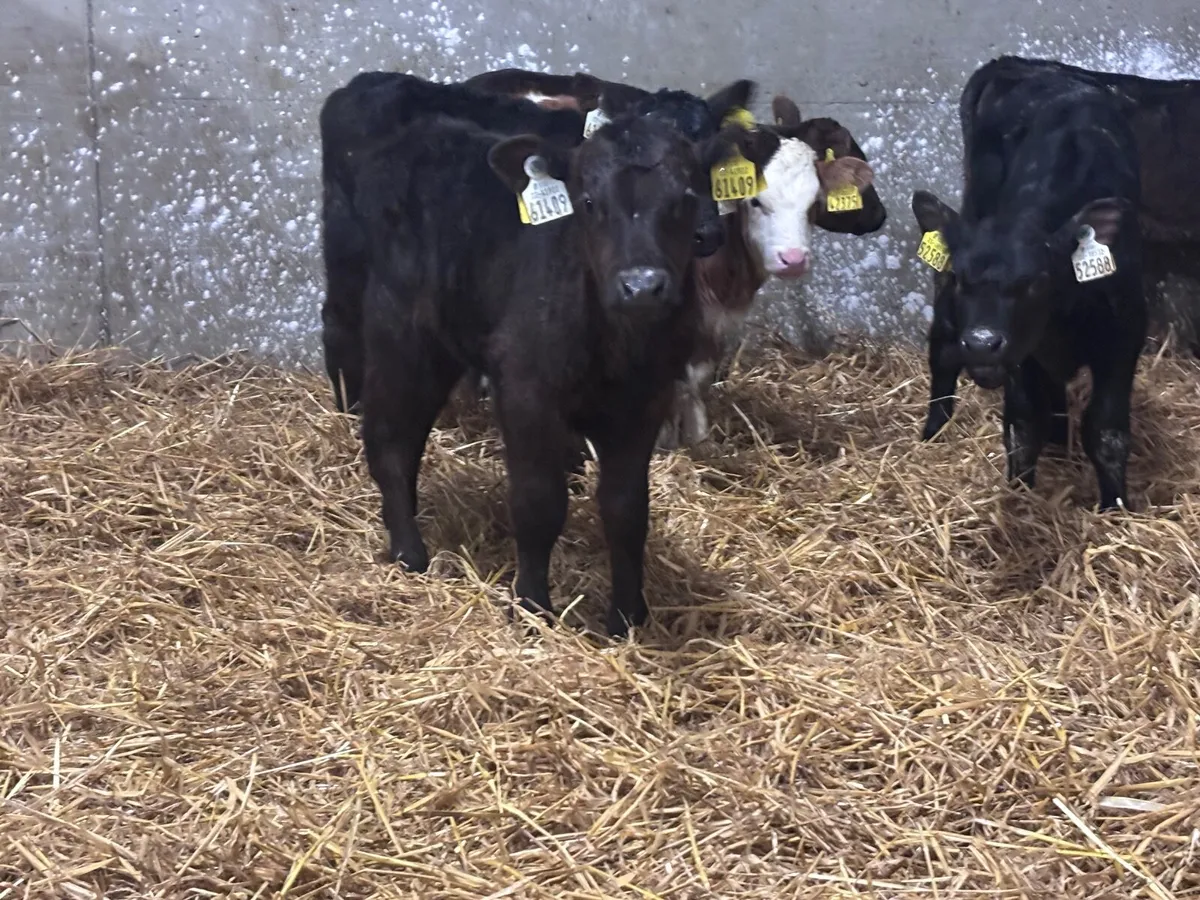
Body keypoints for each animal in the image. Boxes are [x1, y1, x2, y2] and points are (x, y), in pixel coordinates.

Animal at [319, 70, 753, 415]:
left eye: (709, 160)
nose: (705, 232)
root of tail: (361, 84)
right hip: (347, 243)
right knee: (339, 319)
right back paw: (350, 408)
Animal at [352, 109, 772, 638]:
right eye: (588, 201)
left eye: (686, 198)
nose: (642, 286)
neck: (616, 347)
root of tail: (429, 130)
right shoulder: (526, 391)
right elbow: (539, 502)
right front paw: (532, 607)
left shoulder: (645, 402)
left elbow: (626, 509)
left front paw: (627, 618)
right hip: (401, 333)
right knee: (389, 439)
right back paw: (409, 552)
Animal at [910, 64, 1145, 511]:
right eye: (963, 277)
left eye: (1036, 281)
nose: (982, 343)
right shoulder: (1020, 357)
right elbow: (1021, 426)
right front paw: (1020, 493)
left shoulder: (1124, 336)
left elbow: (1106, 430)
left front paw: (1114, 507)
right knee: (943, 351)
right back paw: (933, 432)